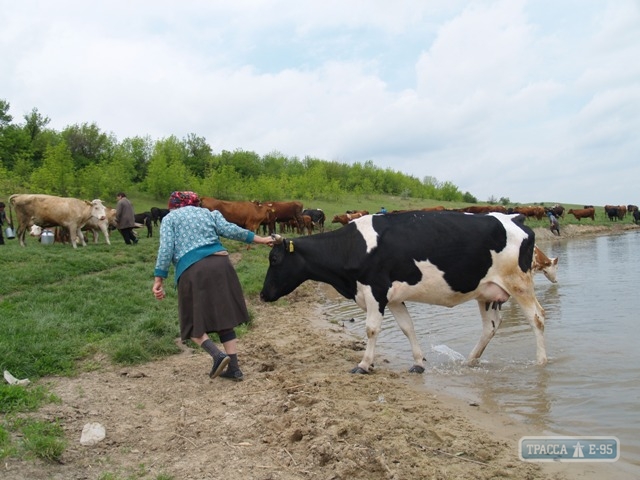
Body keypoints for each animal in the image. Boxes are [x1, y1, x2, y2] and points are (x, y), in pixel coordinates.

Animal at [262, 211, 548, 376]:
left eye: (274, 259)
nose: (263, 295)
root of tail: (515, 219)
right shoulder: (394, 298)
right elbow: (407, 327)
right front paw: (419, 362)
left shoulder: (375, 290)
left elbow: (372, 329)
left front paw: (364, 365)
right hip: (488, 292)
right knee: (491, 326)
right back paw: (470, 361)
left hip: (518, 282)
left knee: (537, 317)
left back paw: (541, 361)